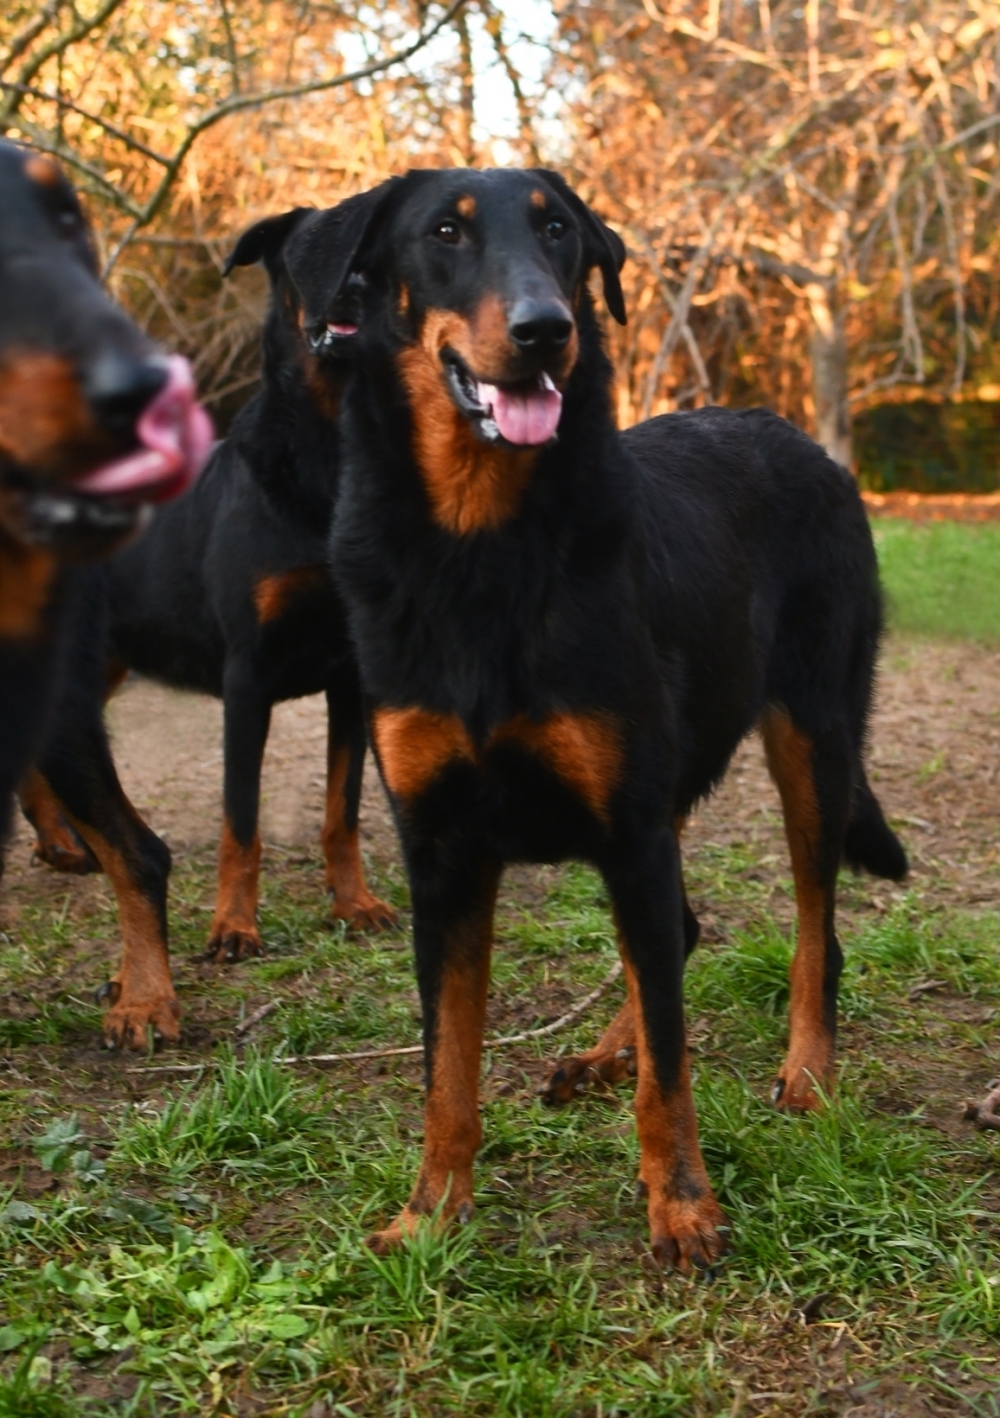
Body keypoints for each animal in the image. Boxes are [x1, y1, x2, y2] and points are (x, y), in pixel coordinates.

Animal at [312, 168, 907, 1276]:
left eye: (560, 233)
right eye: (444, 232)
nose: (547, 330)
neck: (480, 545)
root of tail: (801, 436)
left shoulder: (627, 825)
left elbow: (673, 1070)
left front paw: (681, 1206)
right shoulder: (442, 850)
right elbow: (446, 1064)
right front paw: (431, 1214)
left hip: (812, 744)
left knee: (813, 930)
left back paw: (807, 1070)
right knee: (677, 932)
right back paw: (601, 1052)